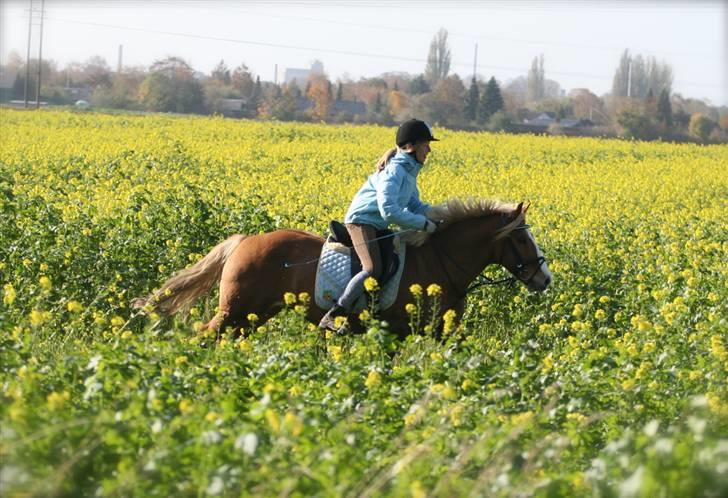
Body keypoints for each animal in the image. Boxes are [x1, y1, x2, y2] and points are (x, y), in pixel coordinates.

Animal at [134, 199, 552, 338]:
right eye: (521, 240)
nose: (544, 278)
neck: (441, 259)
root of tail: (246, 240)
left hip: (254, 314)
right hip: (236, 309)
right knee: (204, 334)